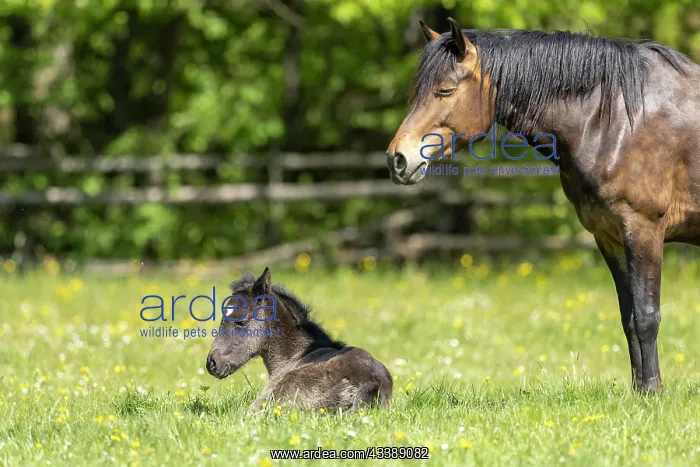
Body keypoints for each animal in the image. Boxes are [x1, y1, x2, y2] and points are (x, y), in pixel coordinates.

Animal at [387, 18, 700, 393]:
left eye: (445, 91)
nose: (397, 159)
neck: (619, 120)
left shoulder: (644, 229)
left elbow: (647, 316)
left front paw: (652, 391)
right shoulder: (609, 235)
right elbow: (629, 318)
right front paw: (640, 391)